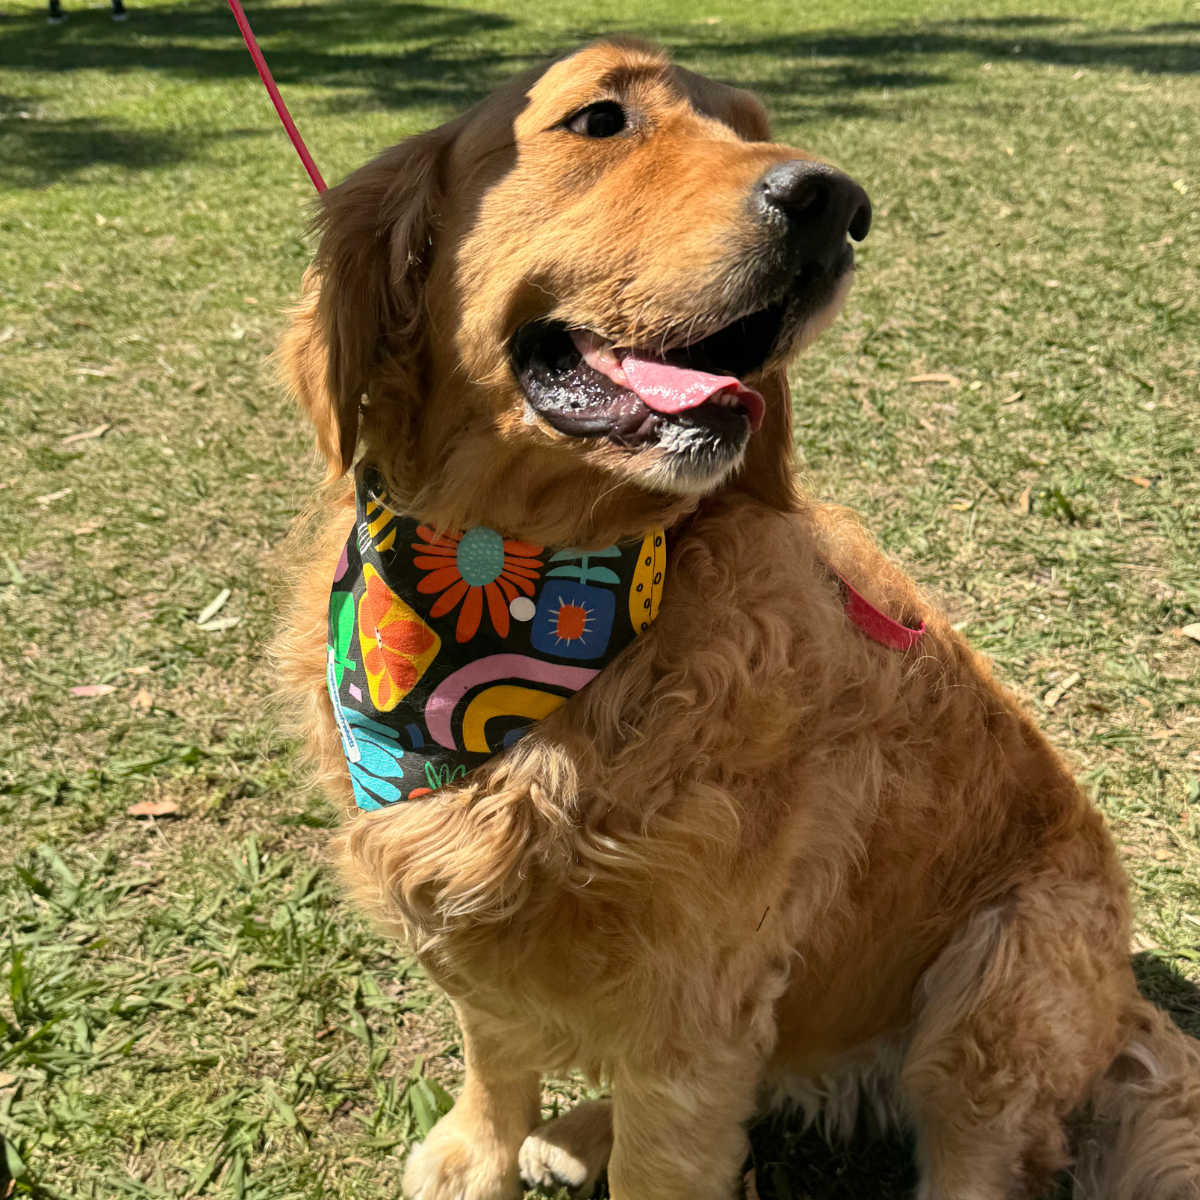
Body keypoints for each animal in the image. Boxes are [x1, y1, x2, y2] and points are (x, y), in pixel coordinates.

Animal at [276, 37, 1200, 1200]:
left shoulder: (699, 998)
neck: (525, 583)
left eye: (754, 127)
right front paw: (479, 1147)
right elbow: (497, 1043)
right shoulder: (478, 924)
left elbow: (664, 1157)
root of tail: (1129, 1008)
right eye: (600, 119)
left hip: (1001, 983)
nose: (835, 205)